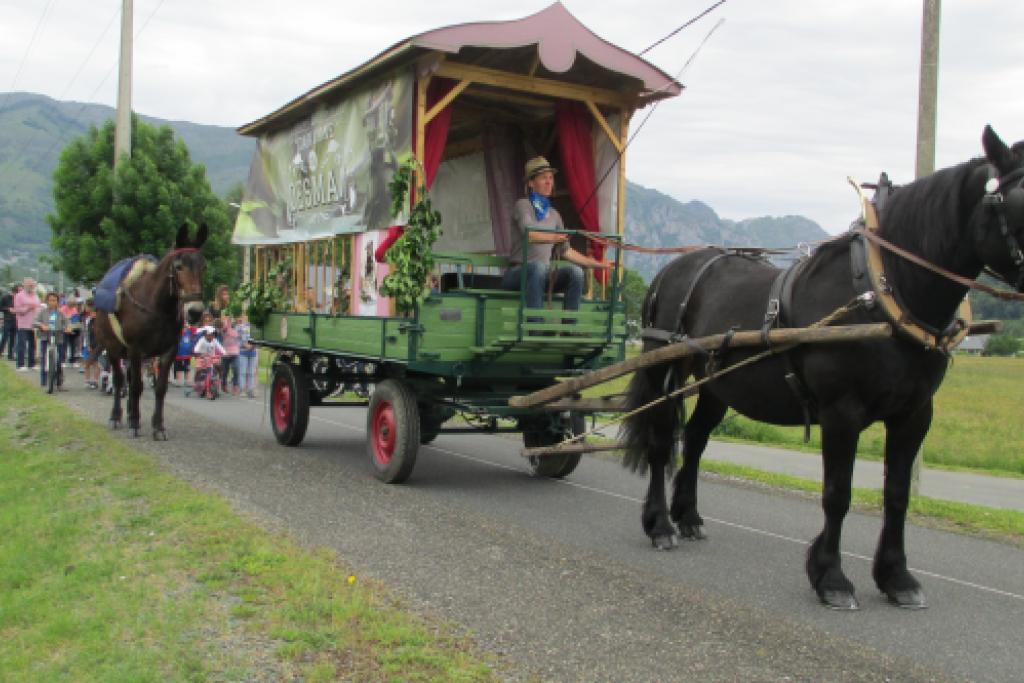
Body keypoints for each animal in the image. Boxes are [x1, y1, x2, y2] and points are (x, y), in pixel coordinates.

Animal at [95, 222, 206, 440]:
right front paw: (134, 423)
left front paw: (158, 426)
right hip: (113, 349)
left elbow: (160, 388)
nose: (195, 311)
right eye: (179, 267)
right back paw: (117, 416)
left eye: (203, 267)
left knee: (129, 379)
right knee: (120, 380)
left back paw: (130, 412)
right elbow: (136, 386)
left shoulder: (168, 351)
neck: (157, 307)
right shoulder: (136, 349)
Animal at [618, 126, 1024, 610]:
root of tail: (674, 268)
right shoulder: (840, 412)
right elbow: (837, 494)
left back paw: (689, 516)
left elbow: (897, 495)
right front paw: (831, 577)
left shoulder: (914, 414)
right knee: (663, 443)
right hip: (666, 370)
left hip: (718, 382)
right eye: (1020, 200)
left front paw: (896, 576)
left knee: (696, 440)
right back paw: (660, 524)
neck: (886, 292)